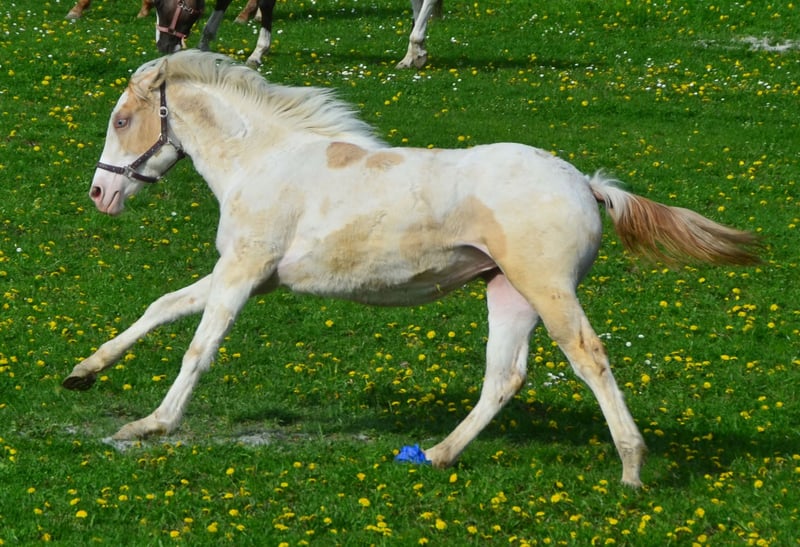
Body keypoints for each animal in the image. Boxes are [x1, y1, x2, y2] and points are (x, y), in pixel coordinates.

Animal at [63, 50, 759, 487]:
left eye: (122, 119)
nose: (100, 194)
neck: (265, 161)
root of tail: (586, 184)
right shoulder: (245, 273)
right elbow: (160, 308)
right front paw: (82, 375)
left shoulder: (241, 274)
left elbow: (199, 348)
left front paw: (150, 424)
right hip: (507, 293)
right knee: (504, 377)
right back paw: (436, 455)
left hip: (548, 290)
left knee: (589, 358)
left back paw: (632, 470)